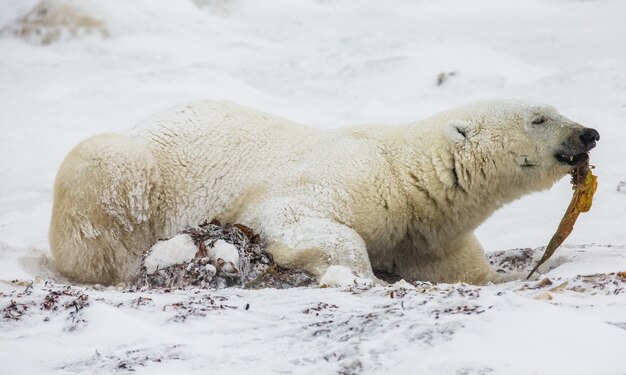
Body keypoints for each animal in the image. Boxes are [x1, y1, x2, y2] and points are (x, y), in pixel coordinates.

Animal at [47, 100, 596, 284]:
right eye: (539, 118)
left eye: (554, 108)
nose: (588, 134)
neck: (408, 178)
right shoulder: (352, 176)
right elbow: (294, 216)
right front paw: (358, 276)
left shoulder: (427, 234)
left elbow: (461, 269)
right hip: (137, 166)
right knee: (101, 171)